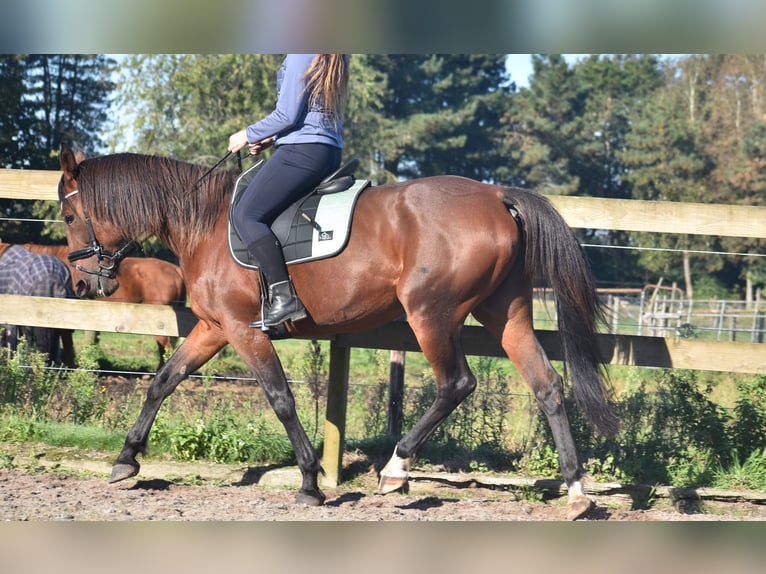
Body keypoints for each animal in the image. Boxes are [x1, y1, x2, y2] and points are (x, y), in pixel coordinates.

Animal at [57, 144, 620, 520]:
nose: (83, 284)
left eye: (67, 214)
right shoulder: (215, 328)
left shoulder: (244, 330)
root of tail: (495, 195)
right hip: (506, 312)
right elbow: (164, 380)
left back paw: (395, 470)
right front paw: (126, 460)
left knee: (456, 384)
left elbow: (280, 399)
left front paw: (310, 481)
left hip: (431, 315)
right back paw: (576, 492)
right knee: (546, 384)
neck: (205, 222)